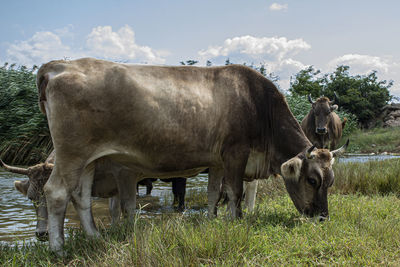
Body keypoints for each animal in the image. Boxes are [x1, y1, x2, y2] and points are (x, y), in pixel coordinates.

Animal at [35, 58, 346, 253]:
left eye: (331, 182)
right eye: (312, 181)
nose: (322, 218)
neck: (258, 104)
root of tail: (60, 66)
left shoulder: (217, 160)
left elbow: (213, 193)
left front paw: (212, 220)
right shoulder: (235, 152)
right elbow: (234, 192)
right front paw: (236, 221)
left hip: (89, 159)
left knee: (81, 196)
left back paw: (94, 236)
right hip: (71, 153)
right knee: (56, 192)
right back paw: (57, 248)